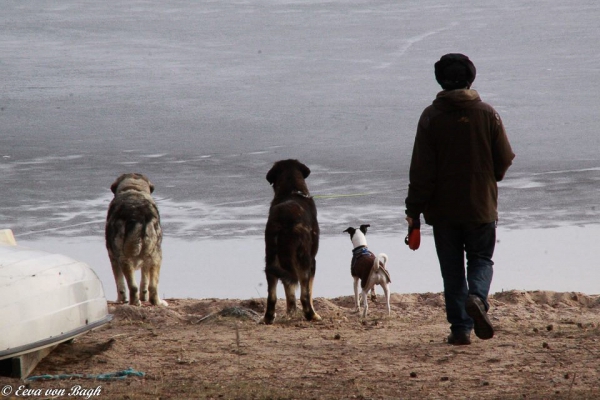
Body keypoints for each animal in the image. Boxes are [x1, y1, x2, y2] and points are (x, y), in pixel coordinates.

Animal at [105, 173, 166, 308]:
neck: (134, 190)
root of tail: (139, 217)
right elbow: (144, 281)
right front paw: (144, 297)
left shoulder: (112, 257)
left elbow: (120, 285)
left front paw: (120, 300)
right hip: (156, 257)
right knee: (152, 286)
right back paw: (156, 302)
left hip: (124, 258)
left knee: (132, 286)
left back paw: (133, 303)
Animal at [262, 158, 322, 324]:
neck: (291, 191)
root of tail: (284, 221)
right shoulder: (313, 262)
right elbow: (309, 291)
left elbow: (289, 291)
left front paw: (290, 312)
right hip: (304, 260)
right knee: (304, 296)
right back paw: (312, 315)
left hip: (272, 259)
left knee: (272, 296)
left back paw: (268, 318)